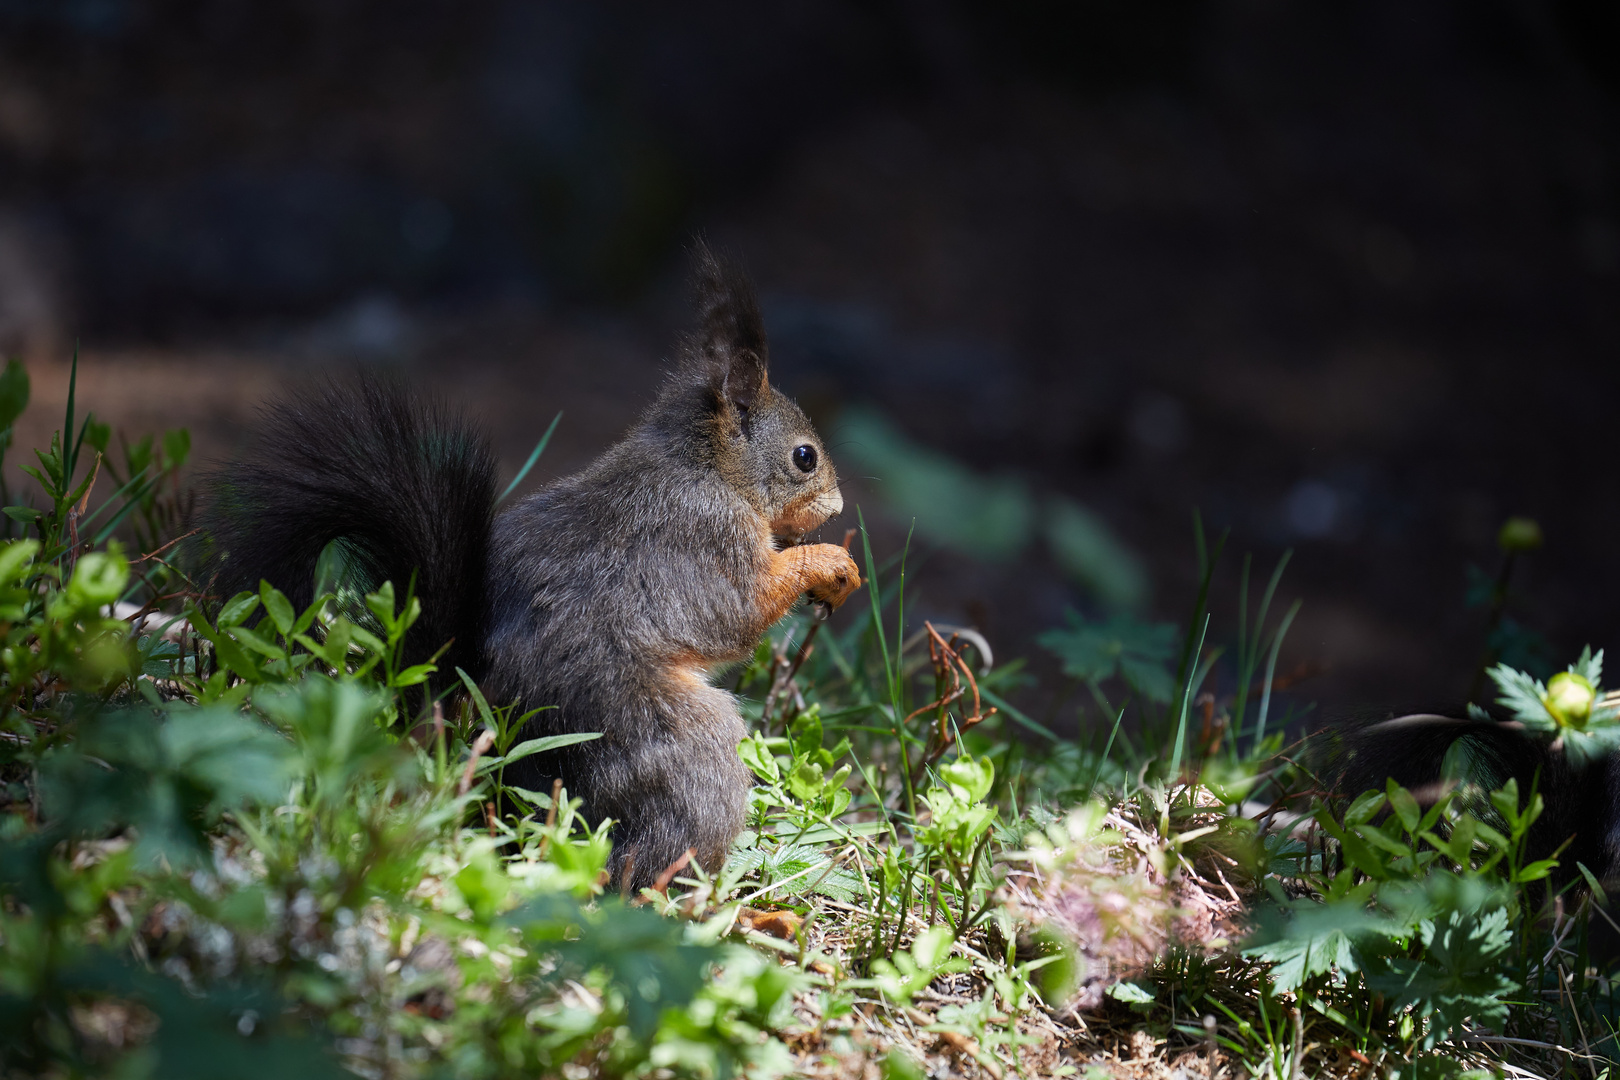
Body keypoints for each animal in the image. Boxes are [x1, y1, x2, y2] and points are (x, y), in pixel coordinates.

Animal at [202, 242, 861, 887]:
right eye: (804, 457)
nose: (837, 506)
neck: (706, 465)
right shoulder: (708, 539)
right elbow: (742, 611)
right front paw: (831, 564)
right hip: (671, 741)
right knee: (644, 857)